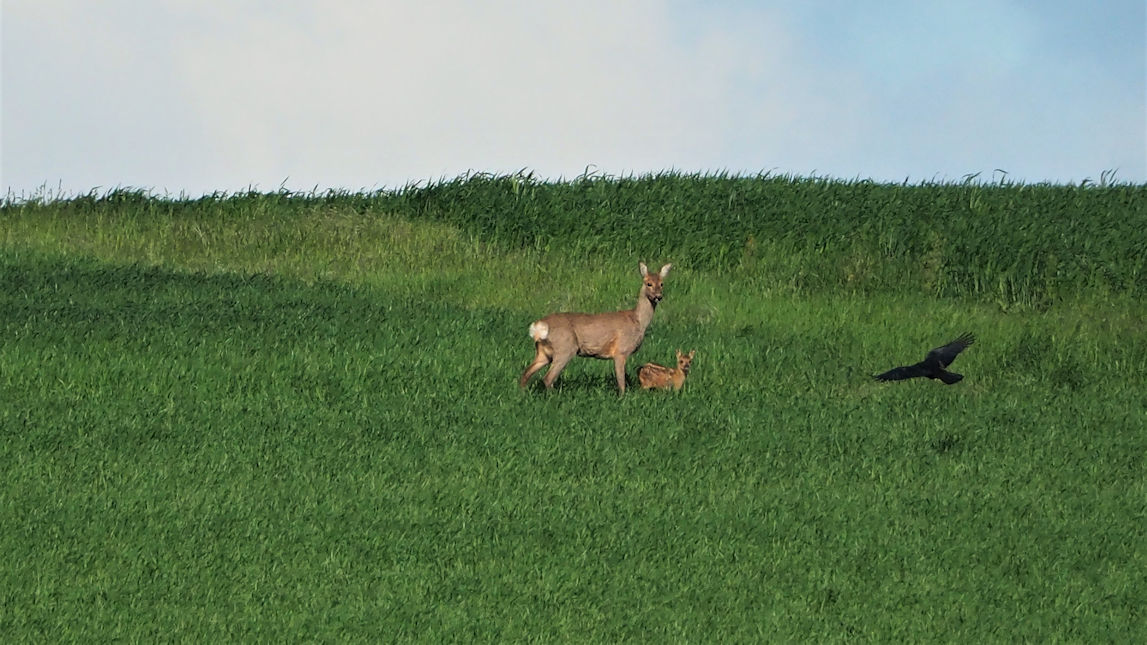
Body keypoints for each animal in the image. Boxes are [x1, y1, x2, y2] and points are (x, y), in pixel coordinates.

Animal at [519, 262, 672, 393]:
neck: (637, 321)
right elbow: (621, 382)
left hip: (543, 352)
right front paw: (622, 398)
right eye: (648, 283)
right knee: (547, 378)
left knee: (526, 372)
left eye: (662, 284)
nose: (658, 296)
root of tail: (539, 327)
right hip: (565, 348)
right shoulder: (621, 351)